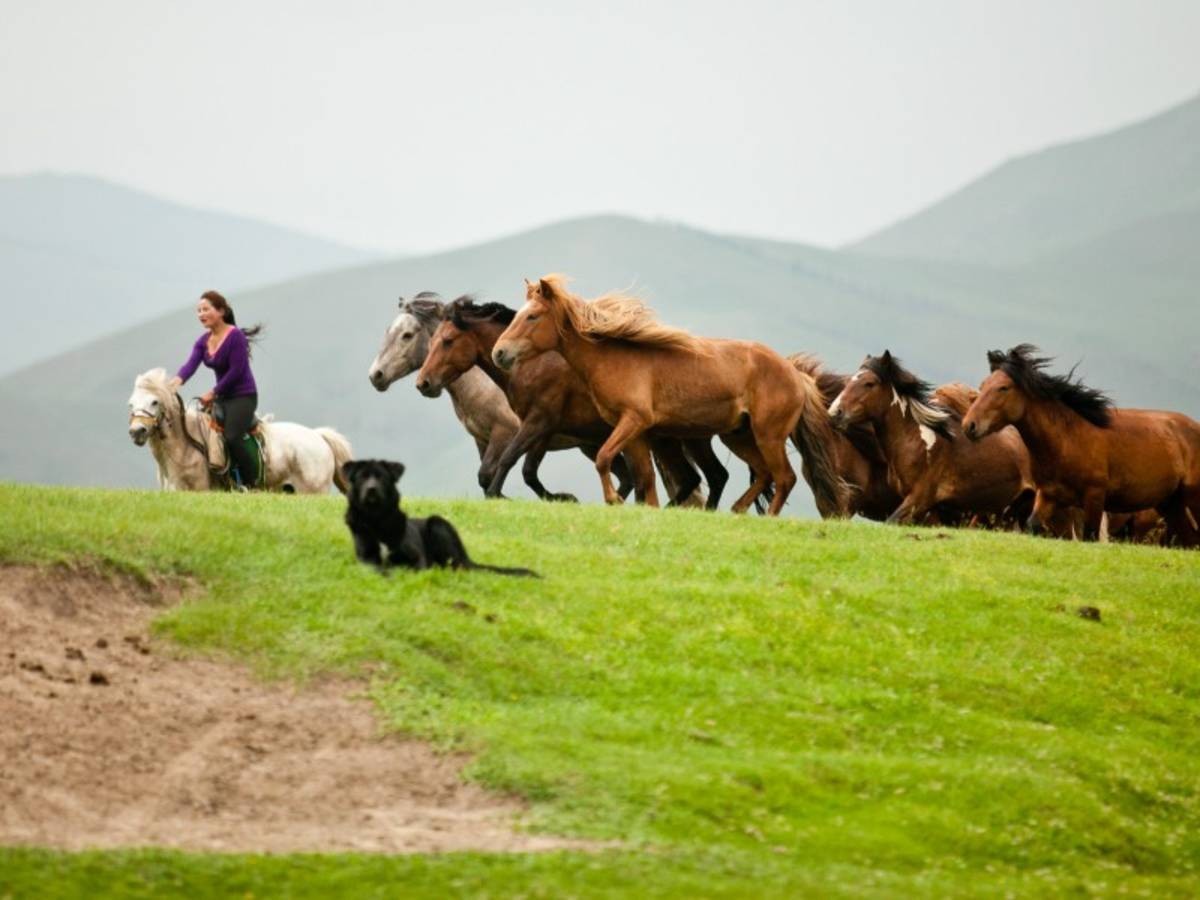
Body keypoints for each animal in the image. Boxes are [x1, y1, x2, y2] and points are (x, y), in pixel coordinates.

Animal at [127, 368, 353, 493]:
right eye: (131, 404)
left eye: (154, 402)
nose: (137, 431)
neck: (185, 447)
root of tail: (319, 436)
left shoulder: (201, 489)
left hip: (313, 491)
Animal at [368, 294, 524, 495]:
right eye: (388, 331)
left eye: (407, 335)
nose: (375, 375)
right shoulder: (482, 438)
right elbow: (485, 480)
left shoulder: (505, 433)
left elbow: (488, 475)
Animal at [415, 298, 725, 506]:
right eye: (431, 343)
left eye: (448, 341)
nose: (423, 383)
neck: (531, 363)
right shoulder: (542, 429)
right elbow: (528, 472)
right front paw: (561, 498)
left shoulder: (535, 423)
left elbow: (508, 461)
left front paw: (499, 496)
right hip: (659, 440)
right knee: (691, 478)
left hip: (678, 439)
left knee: (705, 476)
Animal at [492, 275, 845, 516]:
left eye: (532, 316)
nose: (499, 353)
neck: (614, 359)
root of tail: (795, 374)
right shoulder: (636, 432)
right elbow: (644, 478)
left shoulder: (633, 421)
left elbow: (605, 458)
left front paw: (613, 499)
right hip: (739, 436)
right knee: (763, 474)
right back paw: (735, 510)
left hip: (768, 435)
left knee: (784, 478)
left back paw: (765, 517)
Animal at [962, 344, 1200, 546]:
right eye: (983, 386)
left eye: (1003, 388)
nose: (969, 426)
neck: (1067, 440)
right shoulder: (1047, 495)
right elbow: (1033, 526)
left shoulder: (1094, 497)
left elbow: (1090, 536)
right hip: (1170, 504)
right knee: (1190, 540)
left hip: (1191, 499)